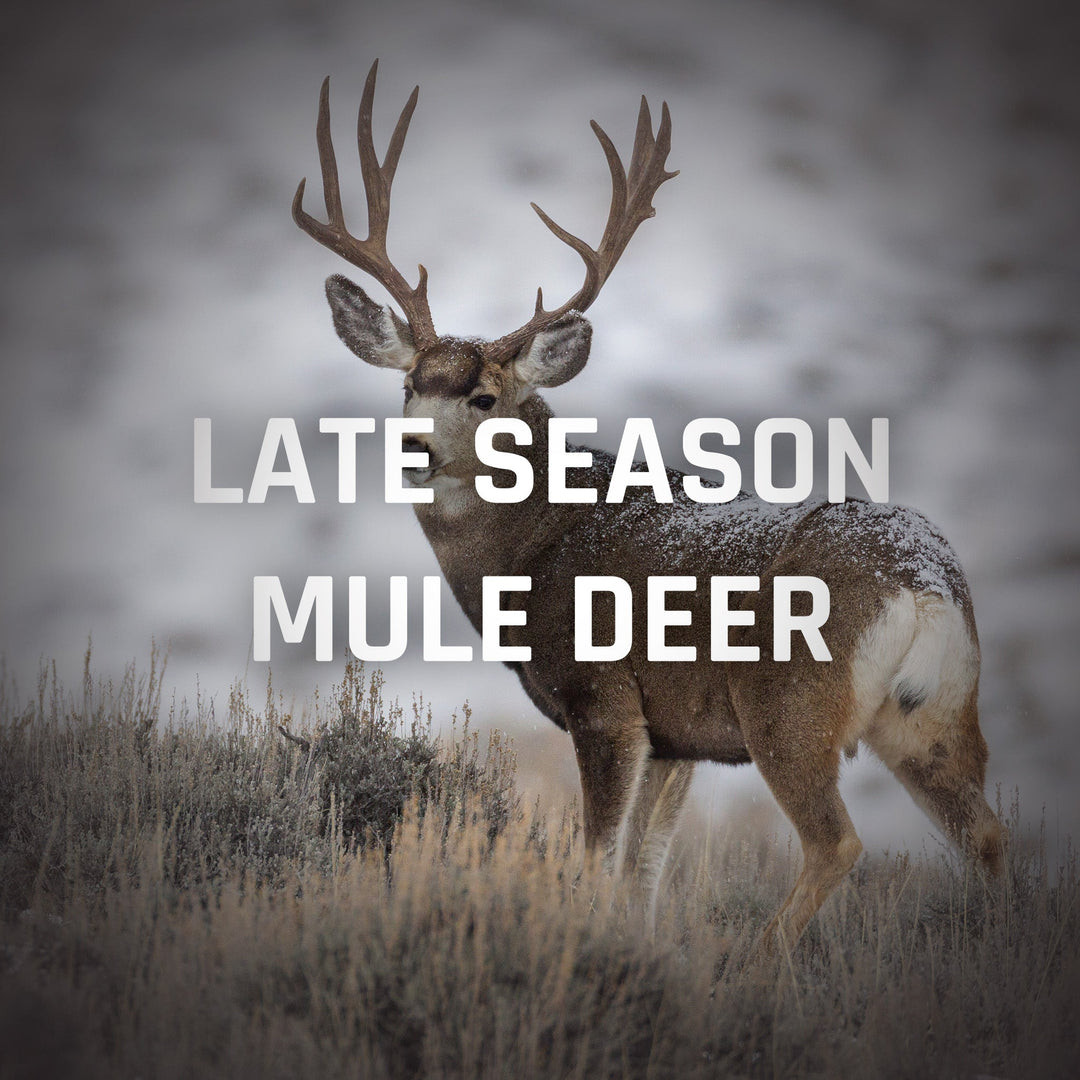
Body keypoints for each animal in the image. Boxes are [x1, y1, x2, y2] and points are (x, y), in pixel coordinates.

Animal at [293, 61, 1005, 950]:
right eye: (409, 386)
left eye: (484, 395)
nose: (413, 446)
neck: (532, 552)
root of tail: (922, 581)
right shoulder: (678, 737)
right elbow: (644, 872)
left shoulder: (605, 701)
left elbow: (599, 861)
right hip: (935, 714)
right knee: (987, 835)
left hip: (789, 706)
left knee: (837, 842)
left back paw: (755, 964)